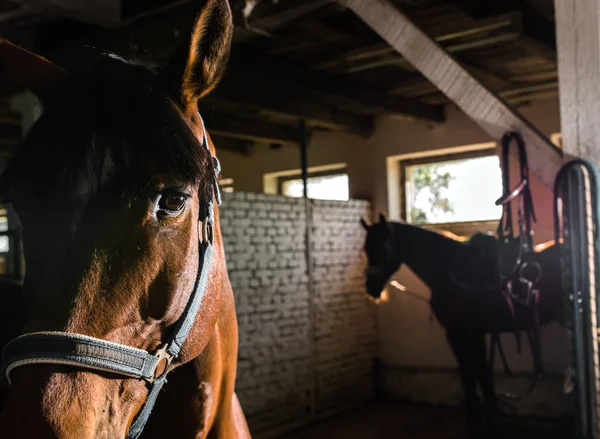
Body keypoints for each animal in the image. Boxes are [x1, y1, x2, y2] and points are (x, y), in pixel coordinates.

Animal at [360, 213, 564, 436]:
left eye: (382, 247)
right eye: (366, 248)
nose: (371, 288)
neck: (447, 271)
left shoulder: (458, 333)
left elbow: (468, 373)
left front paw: (474, 420)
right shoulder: (476, 333)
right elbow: (481, 372)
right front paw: (488, 417)